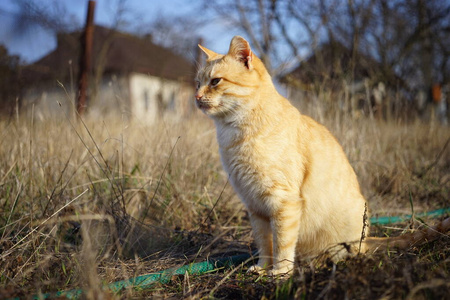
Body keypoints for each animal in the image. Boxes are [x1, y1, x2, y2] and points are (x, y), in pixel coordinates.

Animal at [194, 36, 450, 276]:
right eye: (198, 82)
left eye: (215, 81)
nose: (196, 97)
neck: (232, 134)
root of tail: (366, 241)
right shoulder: (255, 207)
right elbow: (265, 245)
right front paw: (262, 268)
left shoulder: (282, 202)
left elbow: (282, 243)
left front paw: (280, 272)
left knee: (344, 252)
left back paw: (318, 261)